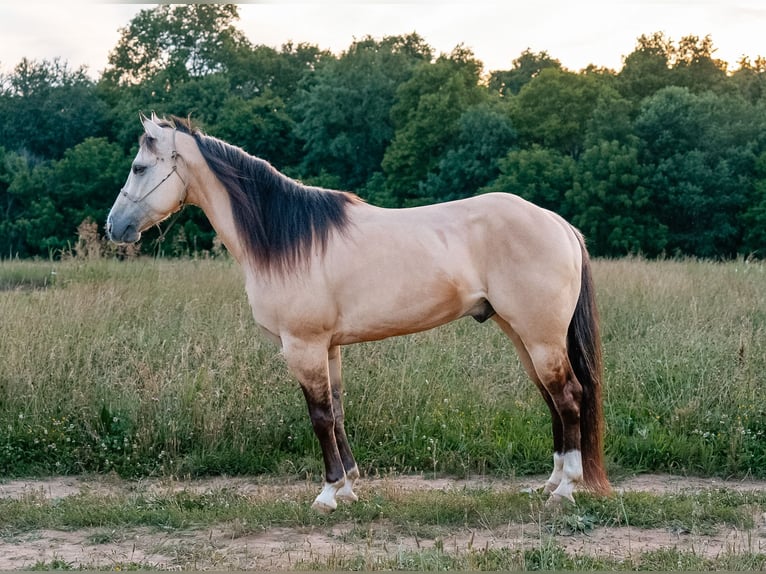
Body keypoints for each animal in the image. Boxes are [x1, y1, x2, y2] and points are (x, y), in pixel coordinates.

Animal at [106, 114, 611, 512]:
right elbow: (338, 411)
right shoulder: (328, 348)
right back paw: (549, 482)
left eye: (138, 167)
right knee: (552, 399)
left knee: (568, 396)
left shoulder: (304, 347)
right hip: (523, 335)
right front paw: (349, 487)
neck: (285, 238)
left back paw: (565, 489)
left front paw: (328, 494)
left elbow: (319, 417)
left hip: (540, 336)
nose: (115, 227)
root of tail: (558, 223)